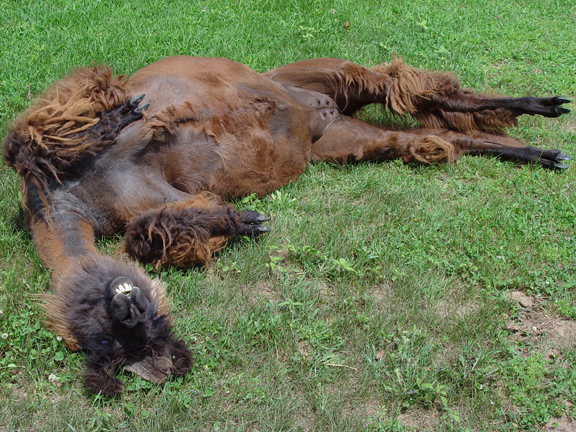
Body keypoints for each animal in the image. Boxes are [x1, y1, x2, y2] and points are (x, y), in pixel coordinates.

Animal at [1, 54, 572, 394]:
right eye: (114, 343)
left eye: (123, 327)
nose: (132, 308)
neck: (78, 199)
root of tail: (320, 107)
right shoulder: (155, 205)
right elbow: (161, 231)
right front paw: (242, 221)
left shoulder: (43, 152)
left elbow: (42, 132)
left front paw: (119, 116)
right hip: (345, 138)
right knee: (439, 138)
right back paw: (538, 152)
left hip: (326, 74)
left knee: (416, 90)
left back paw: (541, 106)